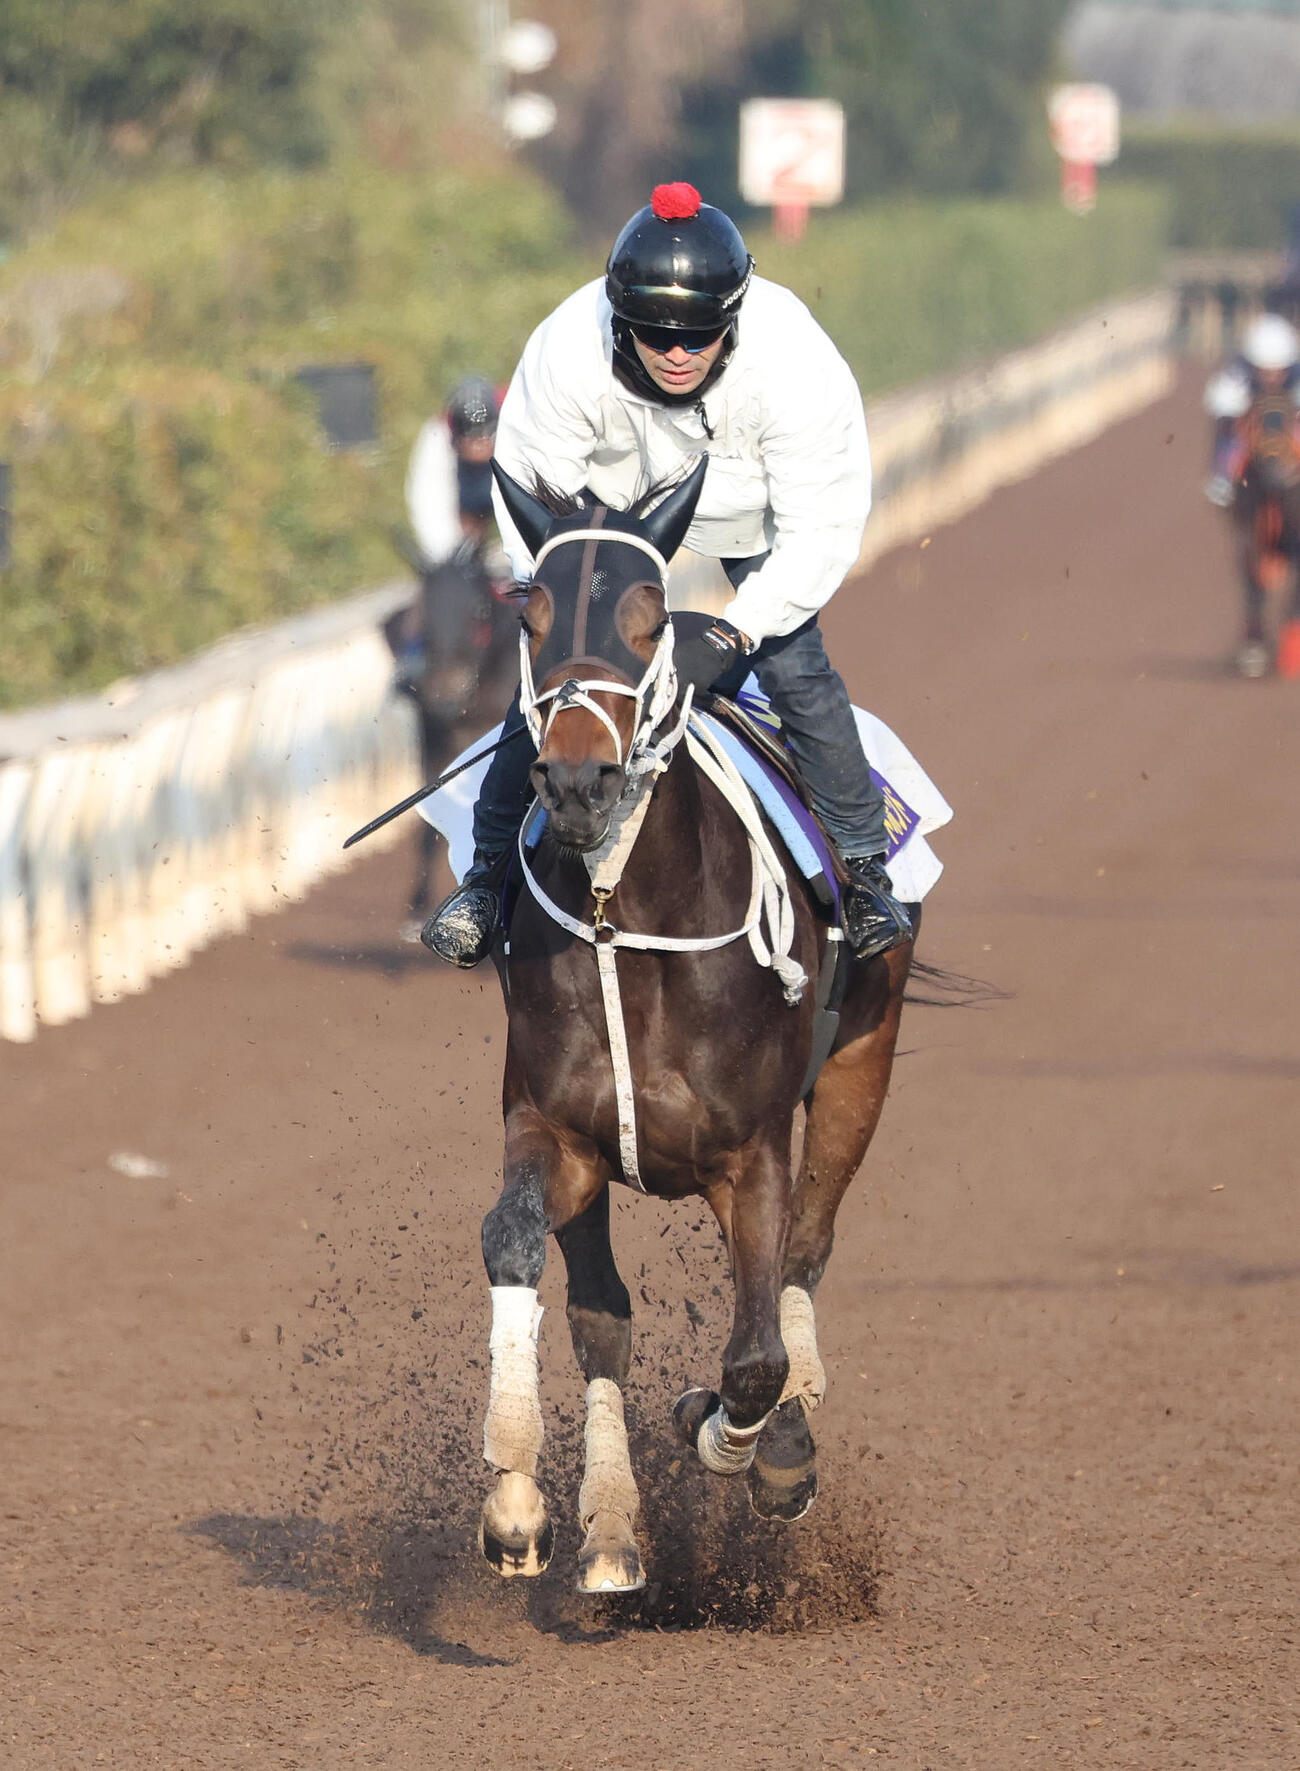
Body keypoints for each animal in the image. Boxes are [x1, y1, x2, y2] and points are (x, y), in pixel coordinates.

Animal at [474, 458, 918, 1594]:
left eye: (648, 621)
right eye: (533, 616)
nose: (575, 781)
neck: (624, 919)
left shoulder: (749, 1154)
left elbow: (755, 1354)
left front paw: (744, 1442)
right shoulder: (558, 1131)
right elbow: (521, 1250)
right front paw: (516, 1499)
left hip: (861, 1065)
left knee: (806, 1253)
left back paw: (778, 1442)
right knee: (599, 1317)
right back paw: (614, 1532)